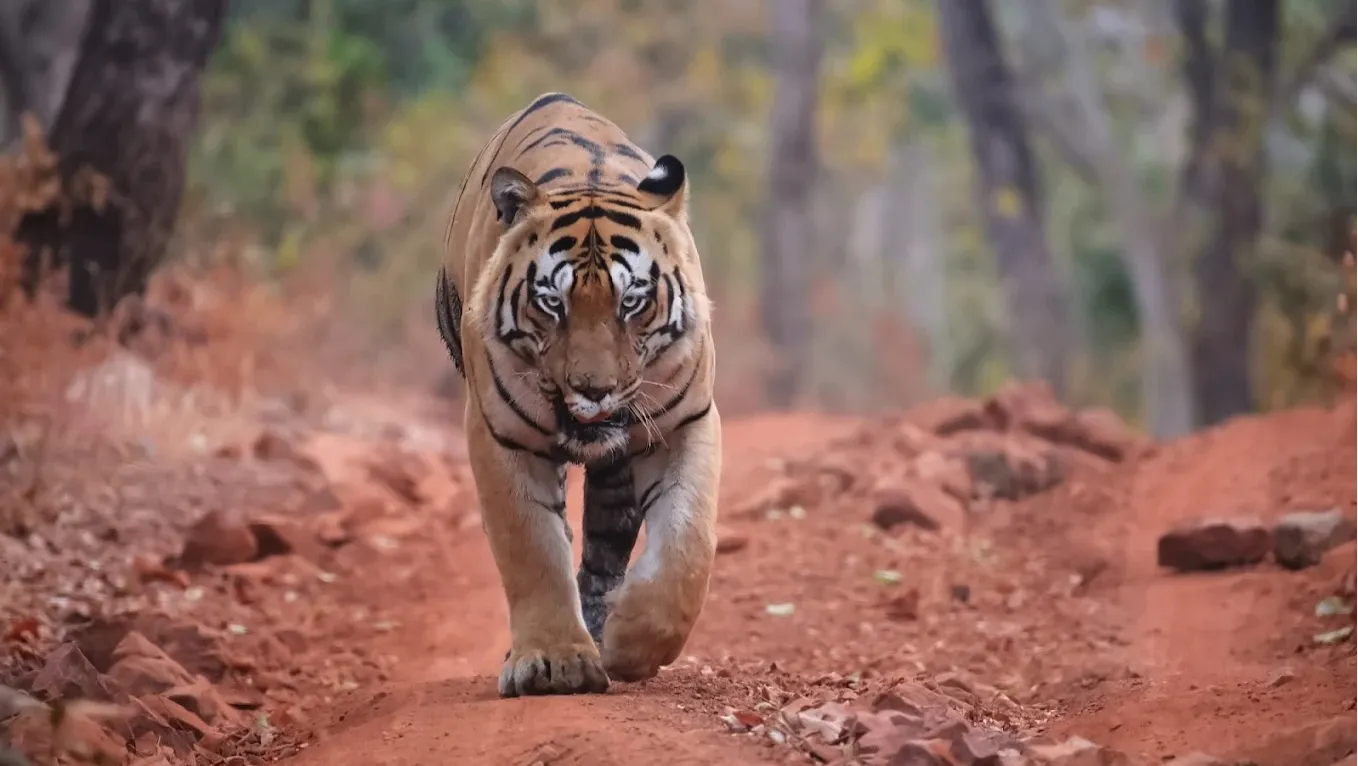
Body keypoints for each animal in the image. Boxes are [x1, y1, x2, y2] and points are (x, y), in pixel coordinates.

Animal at [434, 92, 721, 697]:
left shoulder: (685, 422)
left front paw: (632, 642)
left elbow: (687, 545)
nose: (594, 390)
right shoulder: (500, 436)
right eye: (552, 303)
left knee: (604, 548)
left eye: (632, 302)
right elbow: (532, 548)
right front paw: (553, 662)